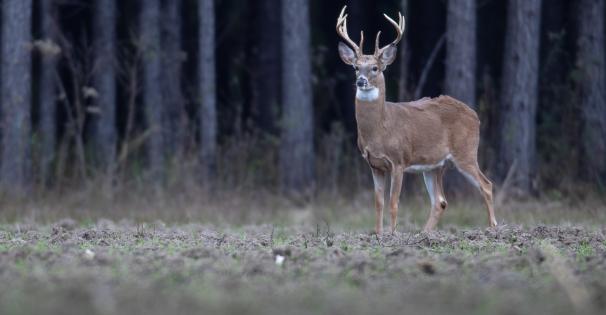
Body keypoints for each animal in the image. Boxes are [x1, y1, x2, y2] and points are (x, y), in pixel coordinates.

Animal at [338, 5, 498, 235]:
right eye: (356, 67)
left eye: (375, 68)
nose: (361, 81)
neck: (380, 130)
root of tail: (475, 115)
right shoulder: (374, 164)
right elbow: (378, 202)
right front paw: (378, 234)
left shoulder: (398, 160)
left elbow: (394, 202)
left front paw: (393, 234)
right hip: (435, 165)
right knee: (440, 201)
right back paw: (424, 234)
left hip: (466, 152)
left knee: (486, 185)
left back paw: (493, 228)